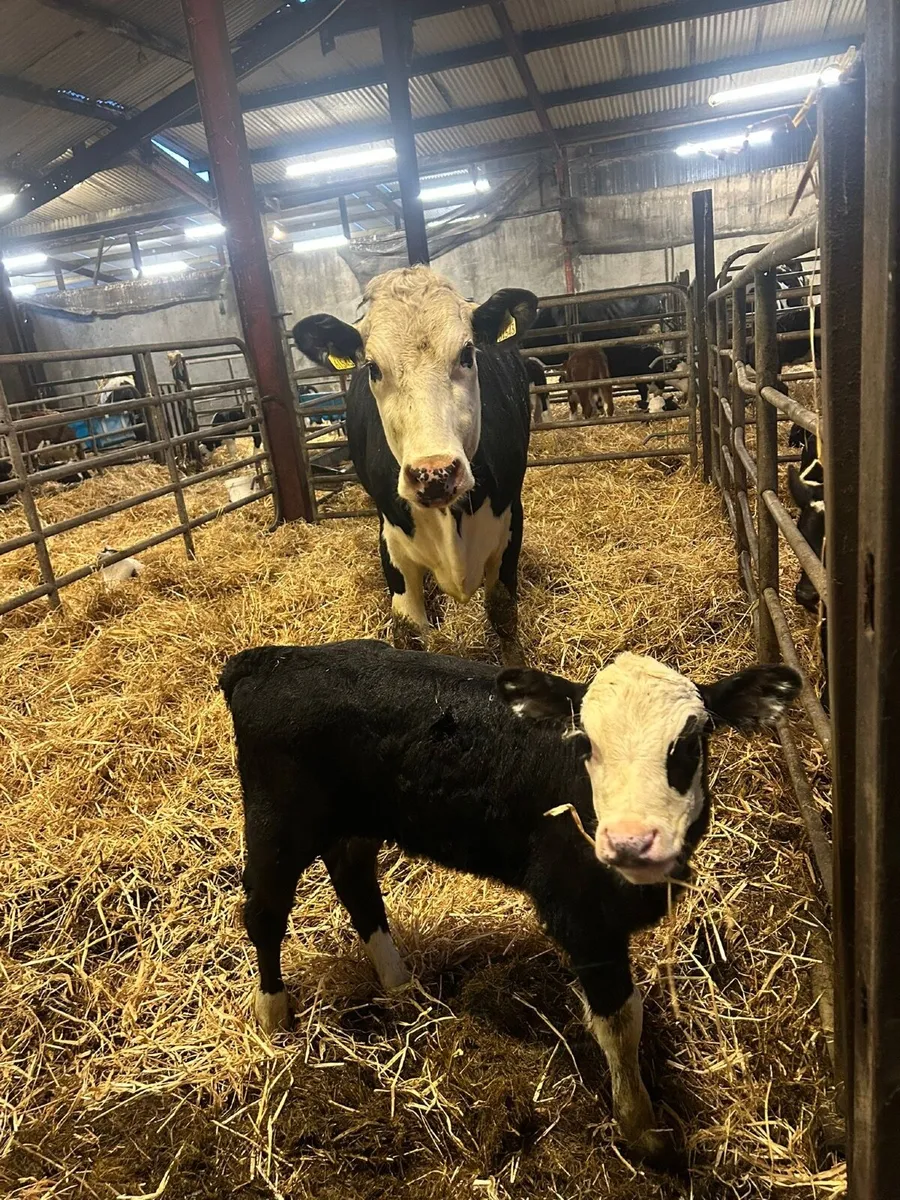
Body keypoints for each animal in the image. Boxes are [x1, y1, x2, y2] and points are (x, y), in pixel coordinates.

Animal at [221, 639, 800, 1165]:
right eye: (586, 745)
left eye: (689, 742)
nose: (630, 842)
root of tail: (267, 659)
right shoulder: (579, 913)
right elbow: (619, 1021)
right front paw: (642, 1131)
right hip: (278, 822)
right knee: (265, 912)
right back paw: (274, 1016)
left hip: (355, 821)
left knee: (355, 880)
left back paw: (402, 987)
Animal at [292, 267, 538, 665]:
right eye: (373, 368)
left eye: (467, 353)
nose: (434, 472)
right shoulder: (392, 542)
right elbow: (409, 628)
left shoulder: (510, 522)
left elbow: (503, 612)